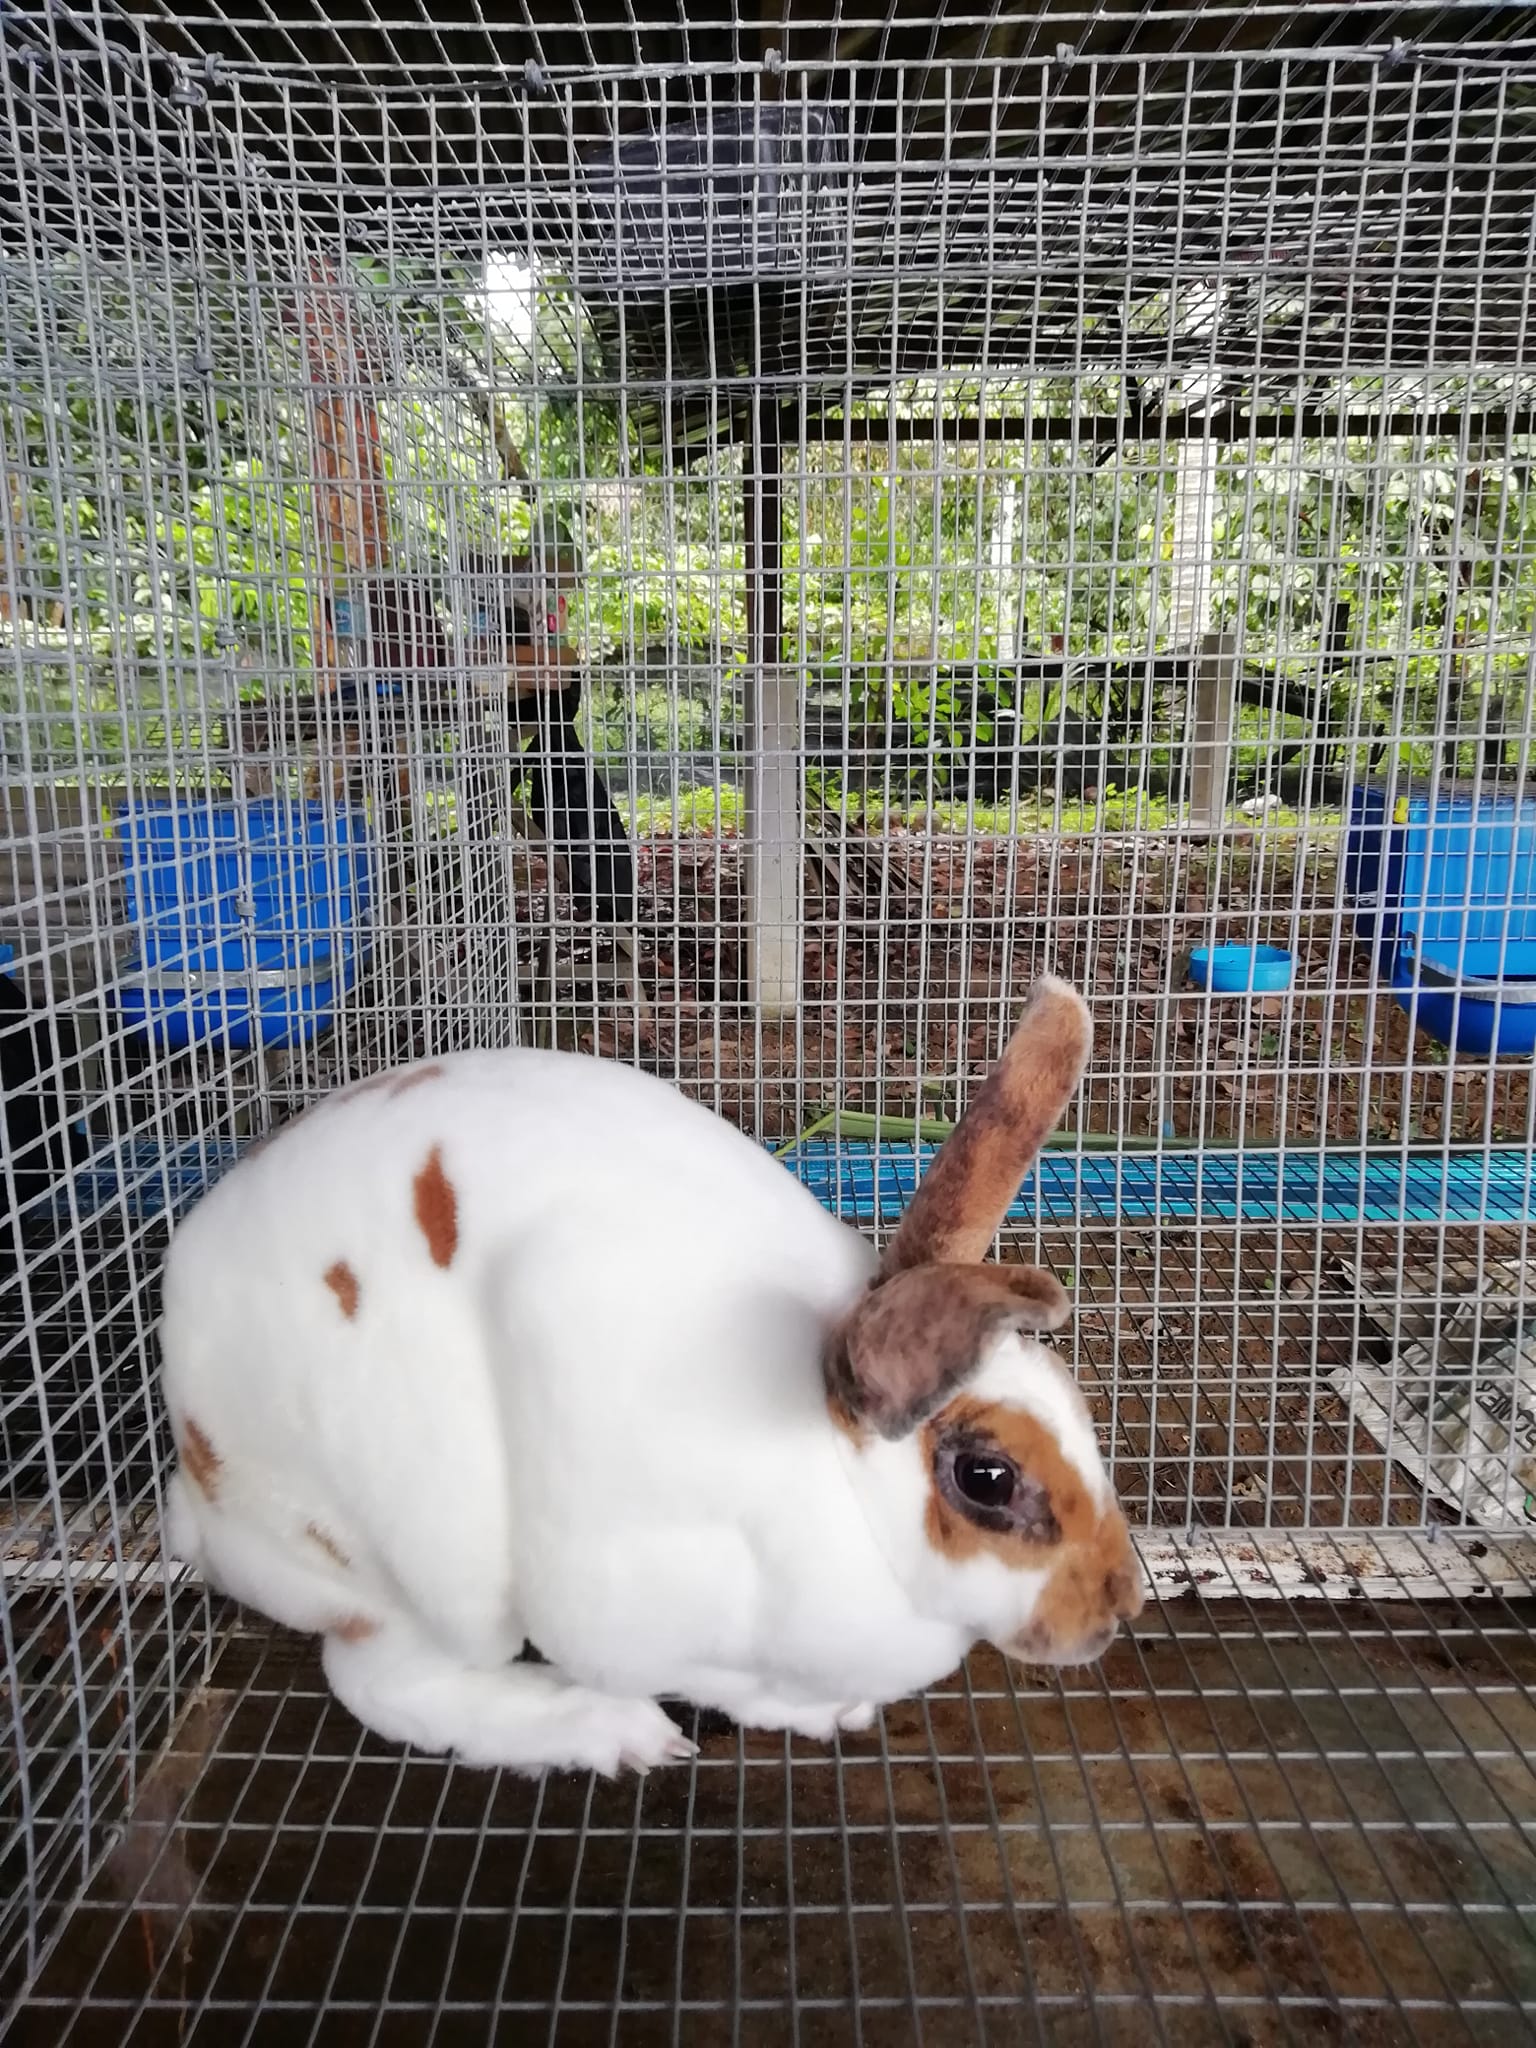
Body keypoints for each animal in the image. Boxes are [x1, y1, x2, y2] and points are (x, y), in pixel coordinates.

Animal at [160, 974, 1144, 1777]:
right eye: (988, 1479)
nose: (1121, 1603)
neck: (836, 1475)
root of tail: (198, 1499)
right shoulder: (618, 1600)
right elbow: (715, 1678)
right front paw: (804, 1707)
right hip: (424, 1564)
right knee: (385, 1681)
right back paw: (610, 1733)